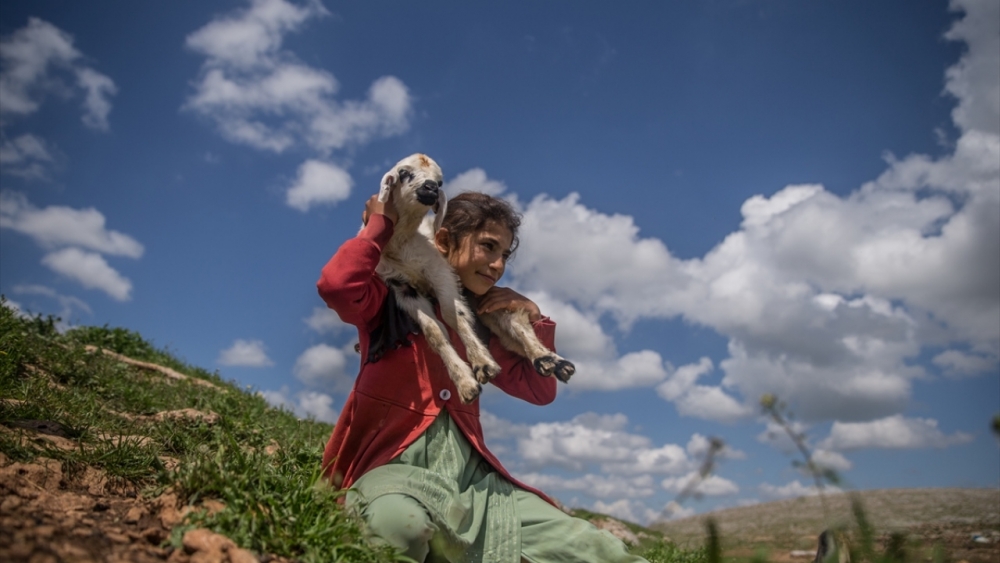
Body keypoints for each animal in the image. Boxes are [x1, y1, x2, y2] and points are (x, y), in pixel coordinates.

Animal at [370, 152, 576, 404]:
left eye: (439, 182)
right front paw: (466, 383)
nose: (430, 188)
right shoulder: (402, 286)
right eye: (403, 173)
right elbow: (435, 332)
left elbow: (453, 315)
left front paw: (483, 365)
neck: (401, 244)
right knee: (509, 334)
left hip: (484, 294)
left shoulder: (440, 271)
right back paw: (550, 363)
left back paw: (551, 361)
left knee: (516, 321)